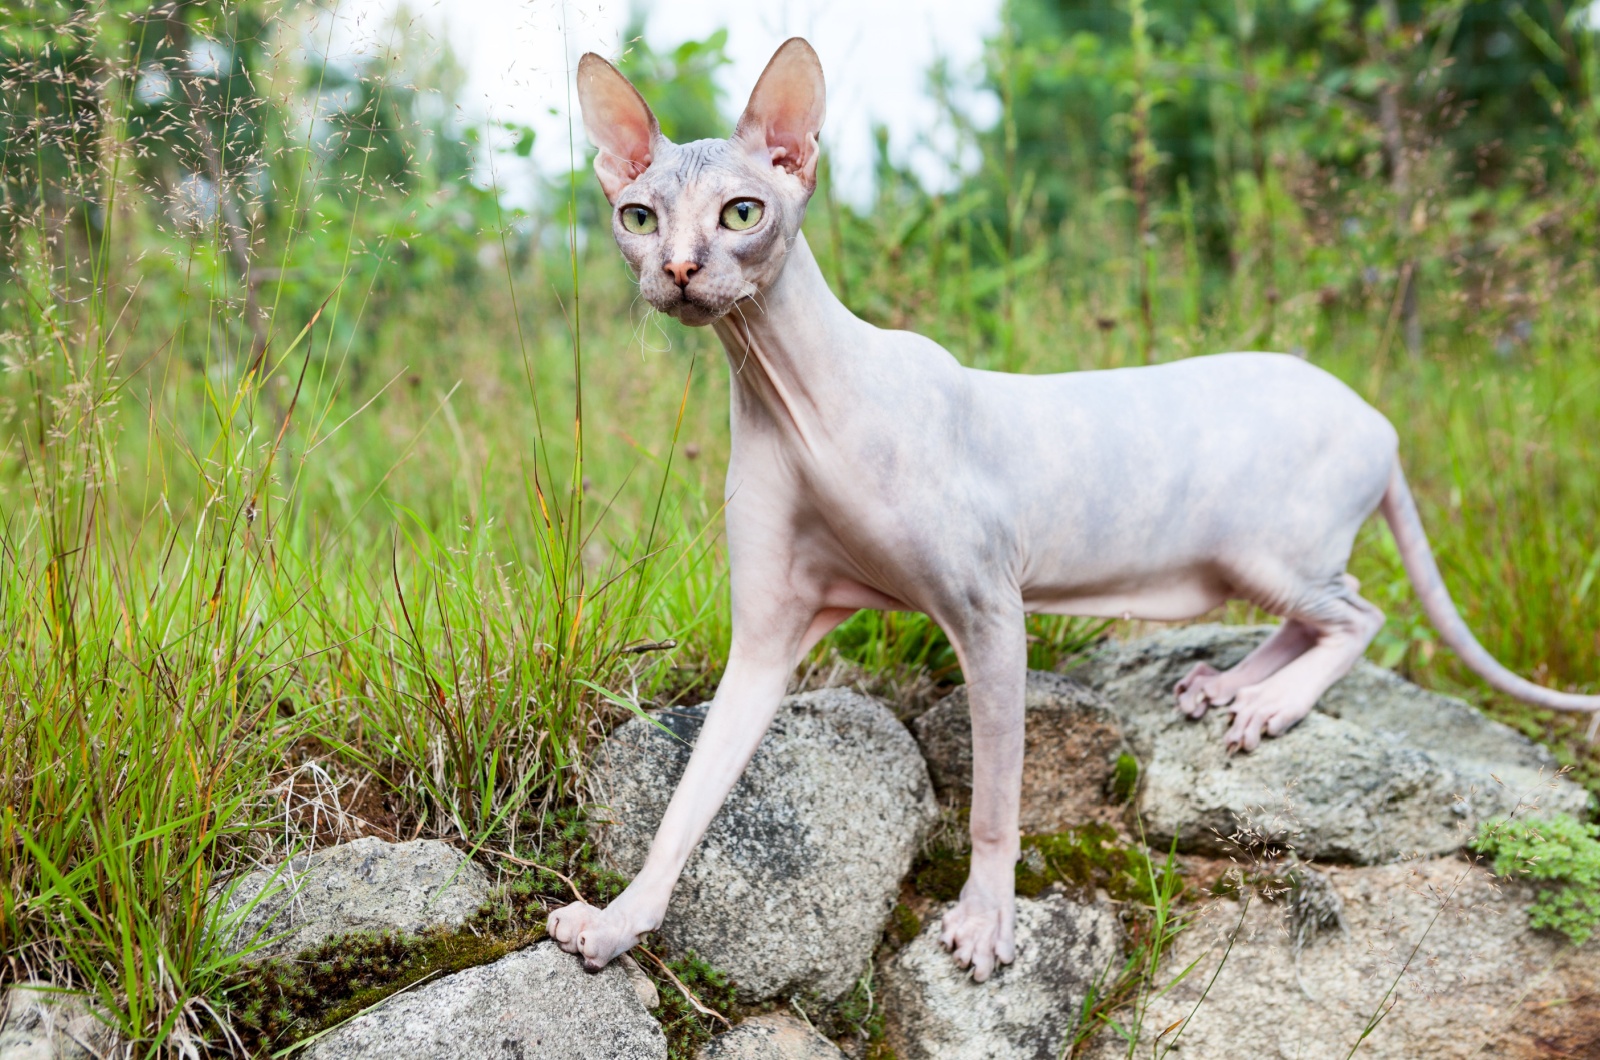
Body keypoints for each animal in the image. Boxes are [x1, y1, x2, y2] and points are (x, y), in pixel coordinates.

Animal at [547, 41, 1587, 986]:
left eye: (743, 212)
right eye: (637, 217)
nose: (680, 271)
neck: (793, 400)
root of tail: (1379, 417)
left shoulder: (989, 611)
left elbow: (995, 801)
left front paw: (985, 922)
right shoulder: (766, 637)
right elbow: (688, 800)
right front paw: (617, 920)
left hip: (1266, 547)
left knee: (1358, 611)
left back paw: (1271, 703)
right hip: (1242, 562)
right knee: (1316, 615)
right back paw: (1229, 686)